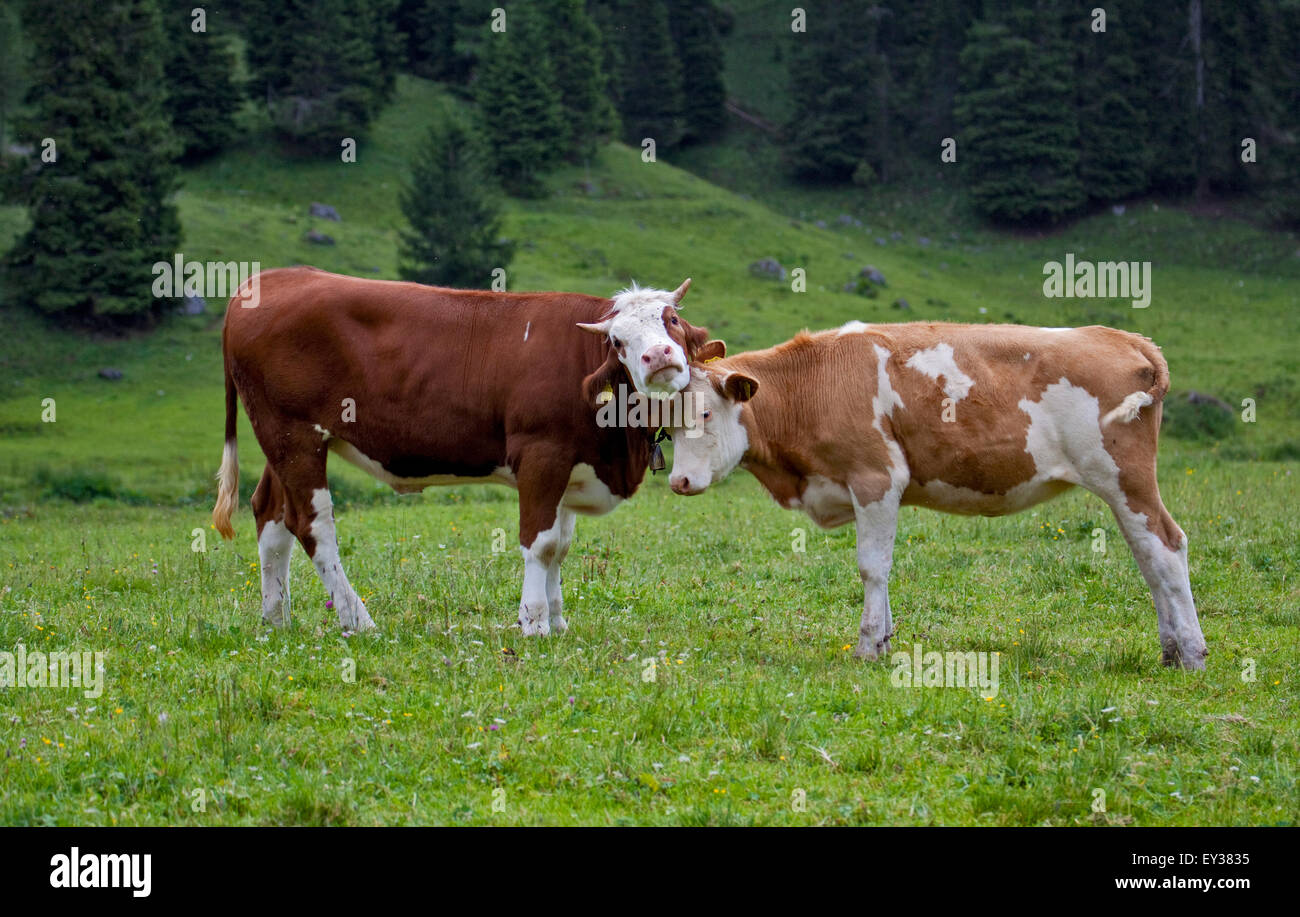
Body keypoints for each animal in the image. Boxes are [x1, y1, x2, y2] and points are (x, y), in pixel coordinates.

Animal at [211, 266, 712, 637]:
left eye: (671, 321)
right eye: (618, 341)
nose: (659, 357)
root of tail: (269, 279)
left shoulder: (570, 467)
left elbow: (561, 545)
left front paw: (557, 621)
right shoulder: (541, 454)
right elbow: (541, 543)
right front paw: (533, 623)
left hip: (282, 442)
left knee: (270, 515)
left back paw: (276, 619)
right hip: (294, 435)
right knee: (313, 526)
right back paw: (358, 619)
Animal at [665, 323, 1211, 671]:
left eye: (706, 414)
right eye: (667, 422)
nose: (679, 483)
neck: (812, 386)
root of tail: (1123, 337)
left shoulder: (876, 477)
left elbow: (872, 567)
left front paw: (867, 648)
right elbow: (882, 569)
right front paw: (886, 641)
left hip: (1126, 478)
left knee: (1167, 546)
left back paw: (1192, 653)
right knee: (1149, 556)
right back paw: (1170, 650)